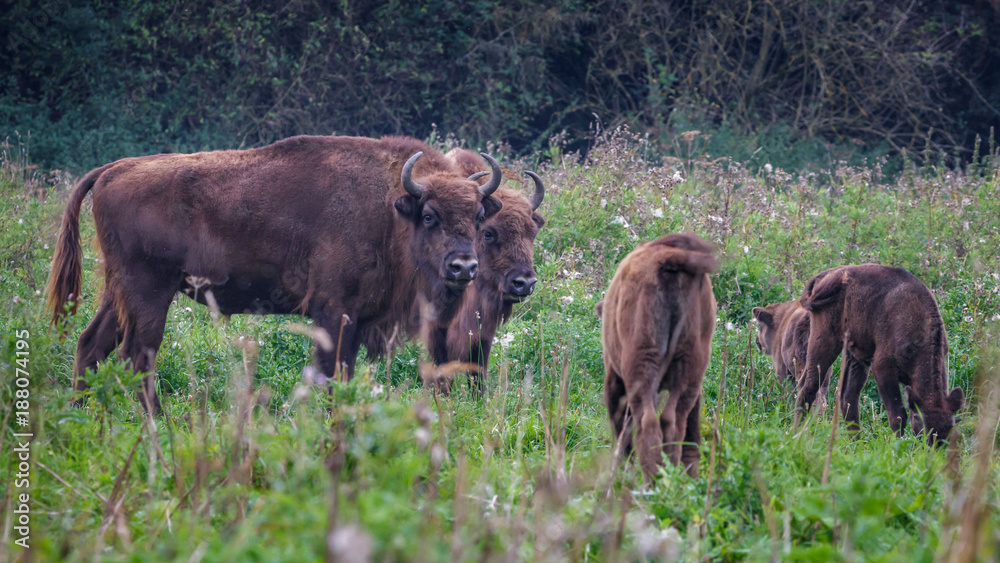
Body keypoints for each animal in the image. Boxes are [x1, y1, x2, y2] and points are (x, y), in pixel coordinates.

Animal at [47, 134, 504, 412]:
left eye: (479, 216)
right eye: (429, 216)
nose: (464, 267)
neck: (391, 208)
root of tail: (112, 170)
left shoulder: (356, 321)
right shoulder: (333, 312)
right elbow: (330, 372)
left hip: (119, 291)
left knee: (92, 344)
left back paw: (81, 414)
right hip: (149, 290)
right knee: (137, 354)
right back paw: (158, 422)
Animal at [596, 232, 716, 480]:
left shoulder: (614, 379)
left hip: (641, 368)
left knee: (647, 423)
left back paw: (653, 480)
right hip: (689, 367)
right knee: (673, 422)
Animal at [792, 264, 964, 446]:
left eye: (949, 430)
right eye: (923, 425)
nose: (933, 449)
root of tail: (825, 276)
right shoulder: (883, 368)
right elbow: (898, 415)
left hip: (855, 354)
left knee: (847, 397)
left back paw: (855, 442)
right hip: (824, 340)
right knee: (808, 386)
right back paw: (798, 433)